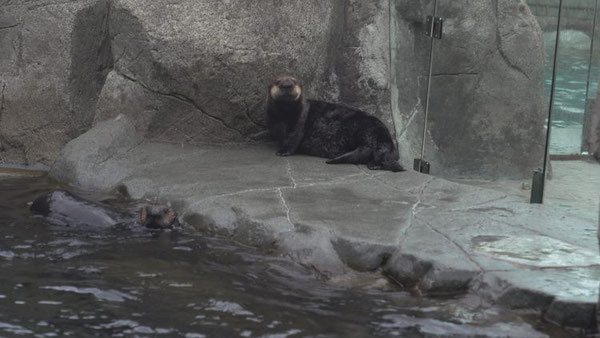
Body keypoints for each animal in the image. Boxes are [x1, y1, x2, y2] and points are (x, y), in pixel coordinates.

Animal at [266, 76, 404, 172]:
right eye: (278, 82)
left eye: (294, 81)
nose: (286, 85)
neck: (284, 114)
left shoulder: (299, 119)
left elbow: (293, 137)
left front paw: (283, 151)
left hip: (363, 127)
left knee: (368, 148)